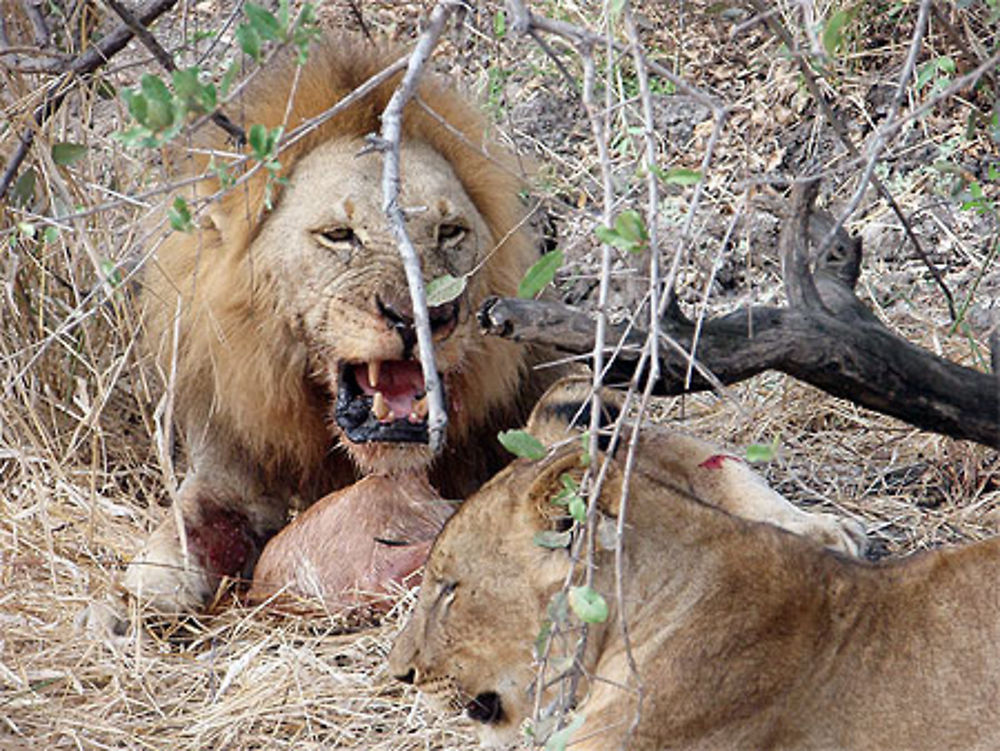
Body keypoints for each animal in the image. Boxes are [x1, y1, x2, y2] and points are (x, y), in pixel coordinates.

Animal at [125, 32, 556, 612]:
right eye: (339, 235)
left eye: (449, 232)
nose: (422, 316)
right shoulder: (225, 470)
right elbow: (181, 533)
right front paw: (128, 604)